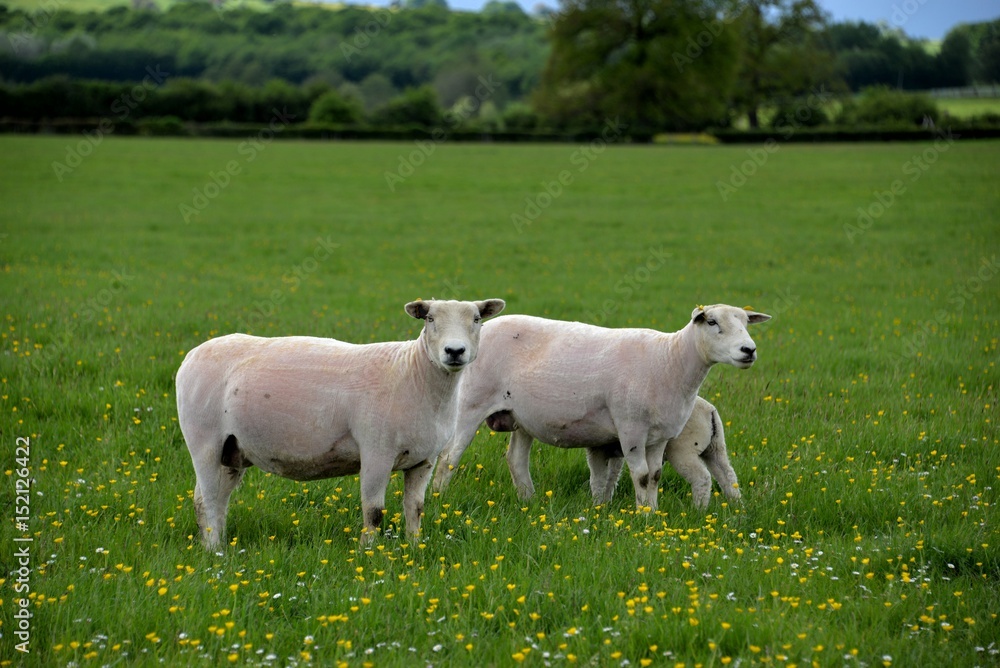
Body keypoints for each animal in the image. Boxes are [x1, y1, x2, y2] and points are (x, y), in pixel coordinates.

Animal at [175, 298, 505, 548]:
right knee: (209, 500)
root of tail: (191, 355)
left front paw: (414, 547)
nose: (455, 351)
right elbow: (374, 512)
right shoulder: (376, 451)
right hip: (204, 441)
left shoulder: (424, 460)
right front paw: (369, 553)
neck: (413, 373)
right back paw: (216, 552)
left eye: (477, 319)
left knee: (210, 500)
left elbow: (416, 509)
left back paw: (213, 545)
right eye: (430, 319)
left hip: (232, 451)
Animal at [431, 304, 768, 511]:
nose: (749, 350)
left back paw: (529, 501)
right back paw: (439, 499)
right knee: (449, 457)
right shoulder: (630, 429)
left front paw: (653, 513)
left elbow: (655, 476)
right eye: (712, 322)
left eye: (746, 323)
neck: (669, 360)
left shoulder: (659, 436)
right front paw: (644, 517)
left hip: (523, 416)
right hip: (470, 404)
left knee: (515, 459)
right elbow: (641, 476)